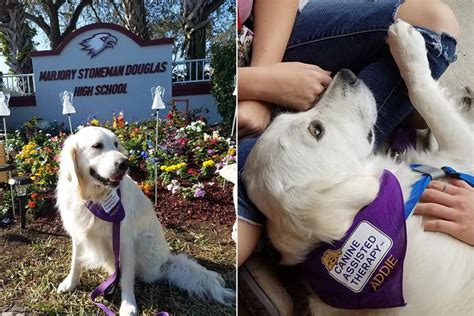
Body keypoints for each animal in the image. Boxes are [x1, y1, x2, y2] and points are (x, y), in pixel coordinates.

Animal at [56, 126, 234, 314]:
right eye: (97, 145)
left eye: (116, 144)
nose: (125, 164)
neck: (94, 198)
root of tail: (167, 260)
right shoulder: (78, 234)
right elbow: (75, 262)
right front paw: (70, 283)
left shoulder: (125, 240)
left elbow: (127, 277)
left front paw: (128, 305)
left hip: (144, 242)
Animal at [243, 21, 472, 314]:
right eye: (316, 130)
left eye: (290, 116)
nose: (346, 74)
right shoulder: (461, 156)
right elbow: (423, 93)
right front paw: (409, 45)